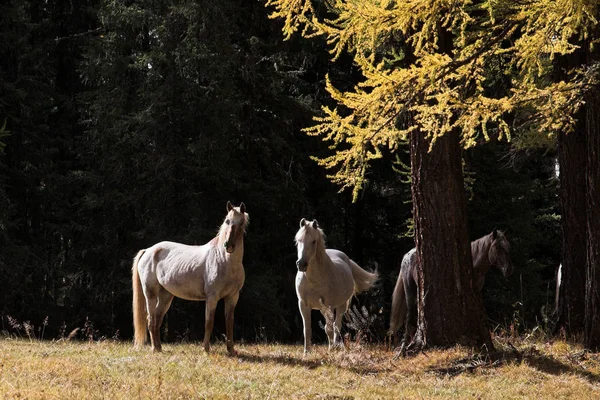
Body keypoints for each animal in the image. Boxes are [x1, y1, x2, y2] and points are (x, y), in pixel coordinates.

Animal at [132, 202, 247, 354]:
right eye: (227, 221)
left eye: (242, 222)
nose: (228, 246)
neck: (225, 261)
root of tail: (148, 250)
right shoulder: (212, 297)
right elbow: (209, 322)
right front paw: (205, 349)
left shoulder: (232, 297)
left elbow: (229, 323)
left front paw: (231, 350)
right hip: (150, 293)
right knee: (151, 320)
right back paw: (154, 349)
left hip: (165, 296)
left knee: (157, 319)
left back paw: (159, 347)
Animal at [296, 219, 380, 354]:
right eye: (298, 240)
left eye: (313, 241)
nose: (301, 264)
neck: (313, 279)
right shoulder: (303, 305)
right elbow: (307, 329)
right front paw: (306, 353)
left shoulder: (329, 305)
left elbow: (329, 328)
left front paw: (331, 349)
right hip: (323, 308)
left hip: (341, 306)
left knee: (337, 325)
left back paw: (336, 345)